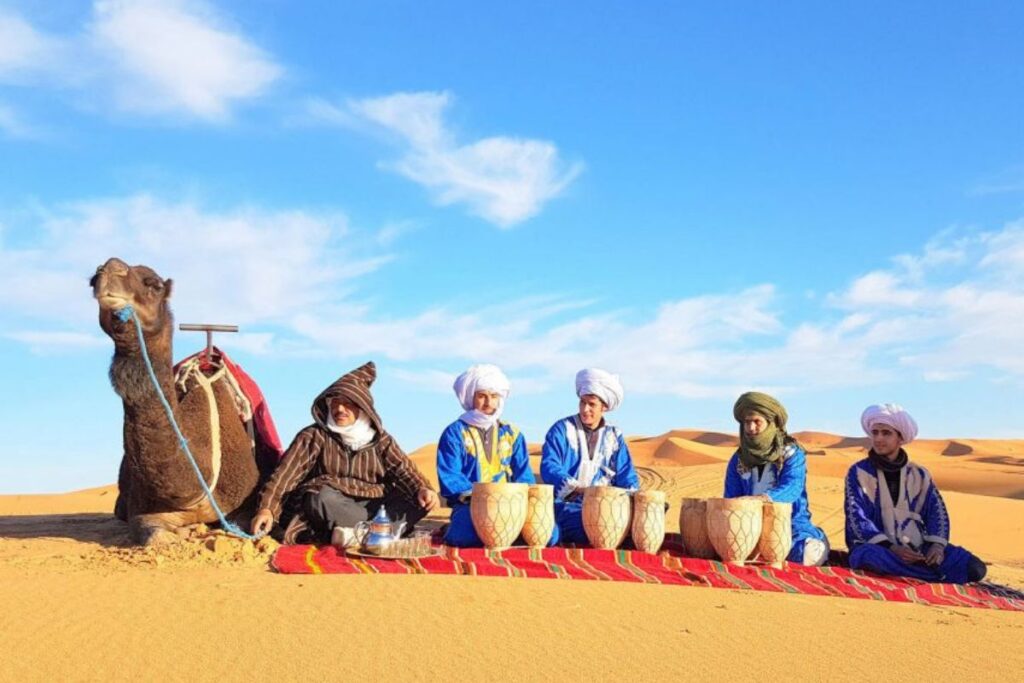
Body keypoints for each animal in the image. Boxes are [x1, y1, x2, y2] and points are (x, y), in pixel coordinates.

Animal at [91, 255, 260, 544]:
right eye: (92, 279)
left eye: (154, 285)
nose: (110, 269)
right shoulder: (142, 509)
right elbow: (154, 536)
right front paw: (183, 531)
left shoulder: (245, 501)